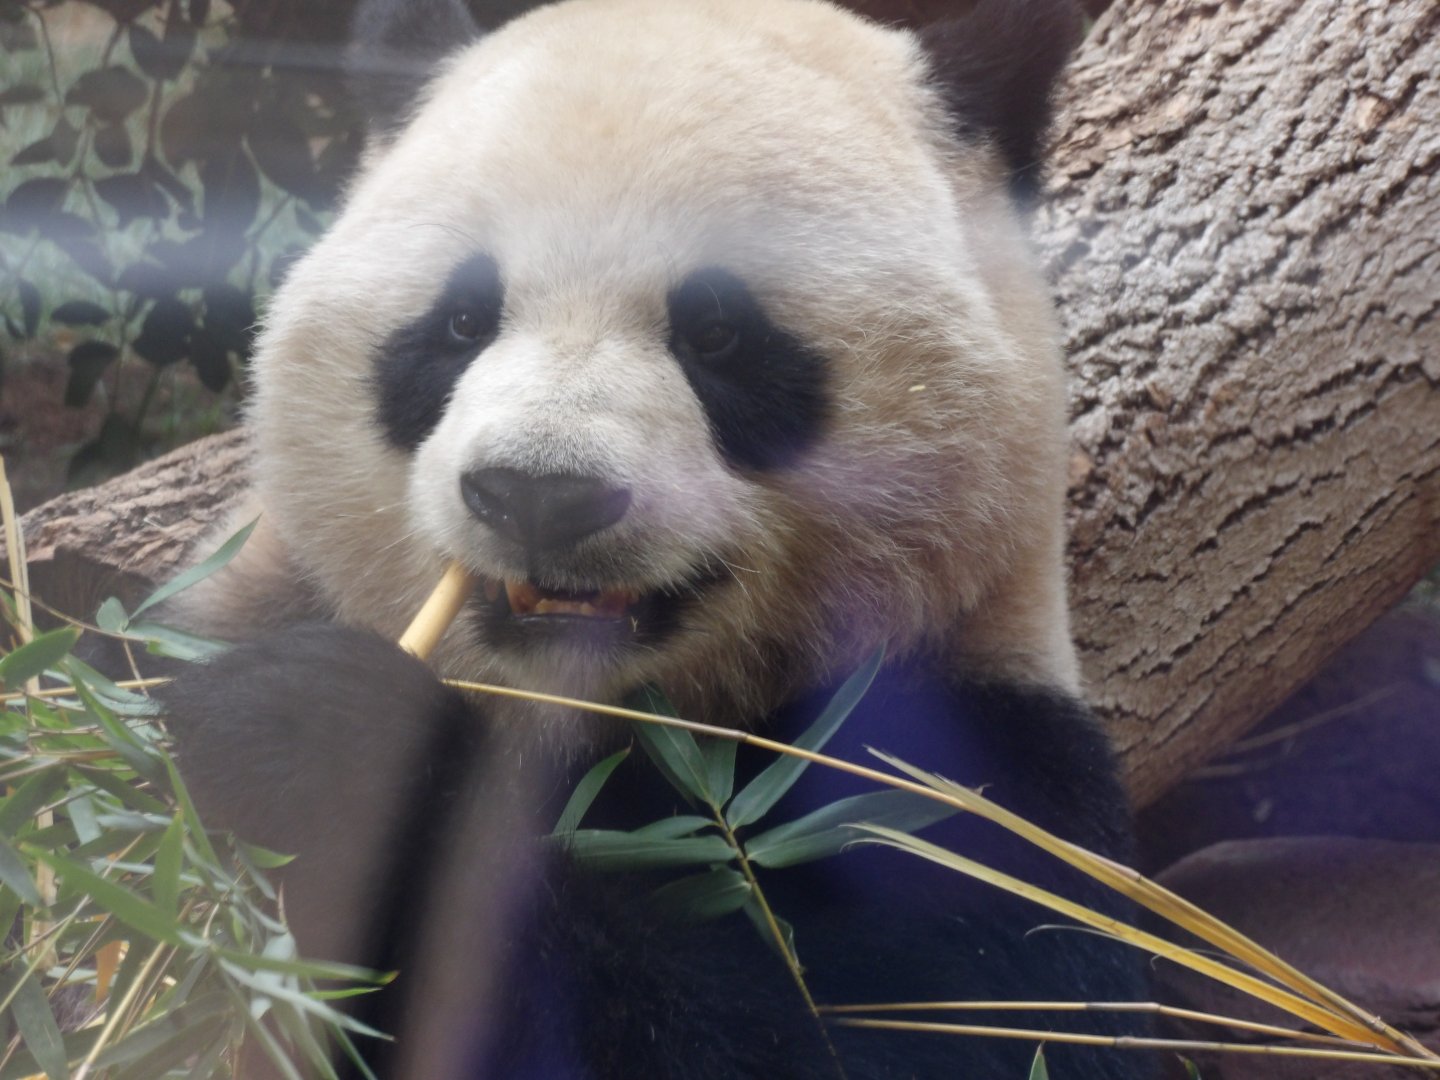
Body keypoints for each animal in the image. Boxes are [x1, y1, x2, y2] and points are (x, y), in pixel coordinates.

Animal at [159, 0, 1159, 1076]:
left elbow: (970, 1027)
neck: (570, 715)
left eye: (717, 332)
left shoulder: (962, 781)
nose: (539, 495)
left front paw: (326, 746)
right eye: (463, 320)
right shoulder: (236, 601)